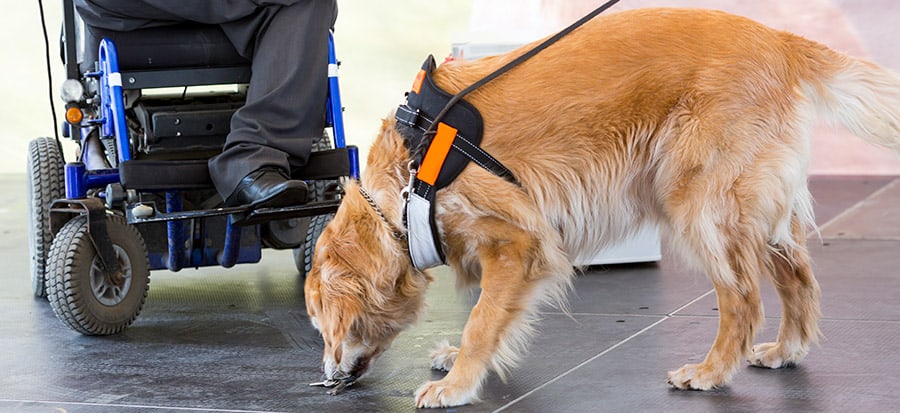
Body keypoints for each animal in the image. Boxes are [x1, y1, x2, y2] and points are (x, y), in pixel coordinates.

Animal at [304, 7, 900, 408]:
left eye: (322, 324)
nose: (326, 375)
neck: (410, 176)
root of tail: (780, 40)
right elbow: (494, 320)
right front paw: (460, 365)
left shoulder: (520, 241)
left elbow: (481, 320)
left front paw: (455, 384)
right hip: (757, 211)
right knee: (799, 278)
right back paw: (786, 350)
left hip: (700, 207)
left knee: (744, 301)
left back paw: (710, 372)